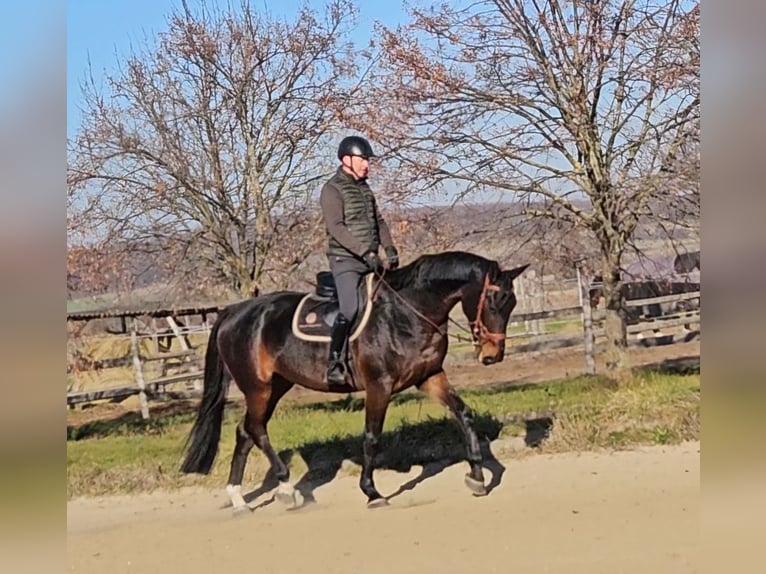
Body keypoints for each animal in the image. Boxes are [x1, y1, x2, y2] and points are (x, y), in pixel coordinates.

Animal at [182, 252, 528, 512]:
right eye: (493, 302)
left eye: (512, 304)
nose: (492, 355)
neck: (407, 311)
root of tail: (234, 311)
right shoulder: (379, 386)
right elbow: (372, 437)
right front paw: (372, 493)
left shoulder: (429, 377)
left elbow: (463, 415)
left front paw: (478, 477)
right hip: (258, 387)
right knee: (255, 429)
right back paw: (286, 488)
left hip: (276, 386)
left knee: (245, 431)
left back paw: (240, 499)